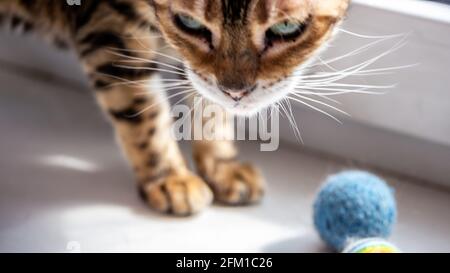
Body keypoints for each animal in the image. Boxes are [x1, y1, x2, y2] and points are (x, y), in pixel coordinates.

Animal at [0, 1, 352, 216]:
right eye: (189, 22)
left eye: (287, 27)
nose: (236, 91)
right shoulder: (111, 32)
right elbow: (144, 112)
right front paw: (171, 178)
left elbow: (209, 104)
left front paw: (221, 165)